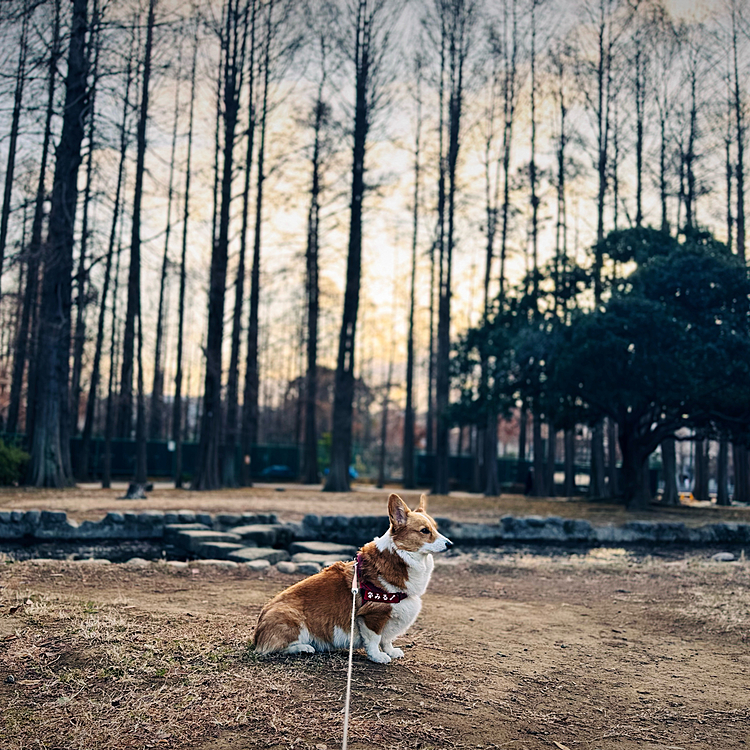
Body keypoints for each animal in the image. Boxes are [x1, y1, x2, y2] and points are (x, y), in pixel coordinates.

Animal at [254, 494, 452, 664]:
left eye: (436, 528)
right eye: (424, 531)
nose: (450, 544)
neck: (400, 557)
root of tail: (257, 634)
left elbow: (387, 639)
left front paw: (391, 651)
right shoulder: (373, 616)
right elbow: (375, 639)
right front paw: (378, 657)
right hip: (293, 620)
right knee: (274, 648)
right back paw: (304, 648)